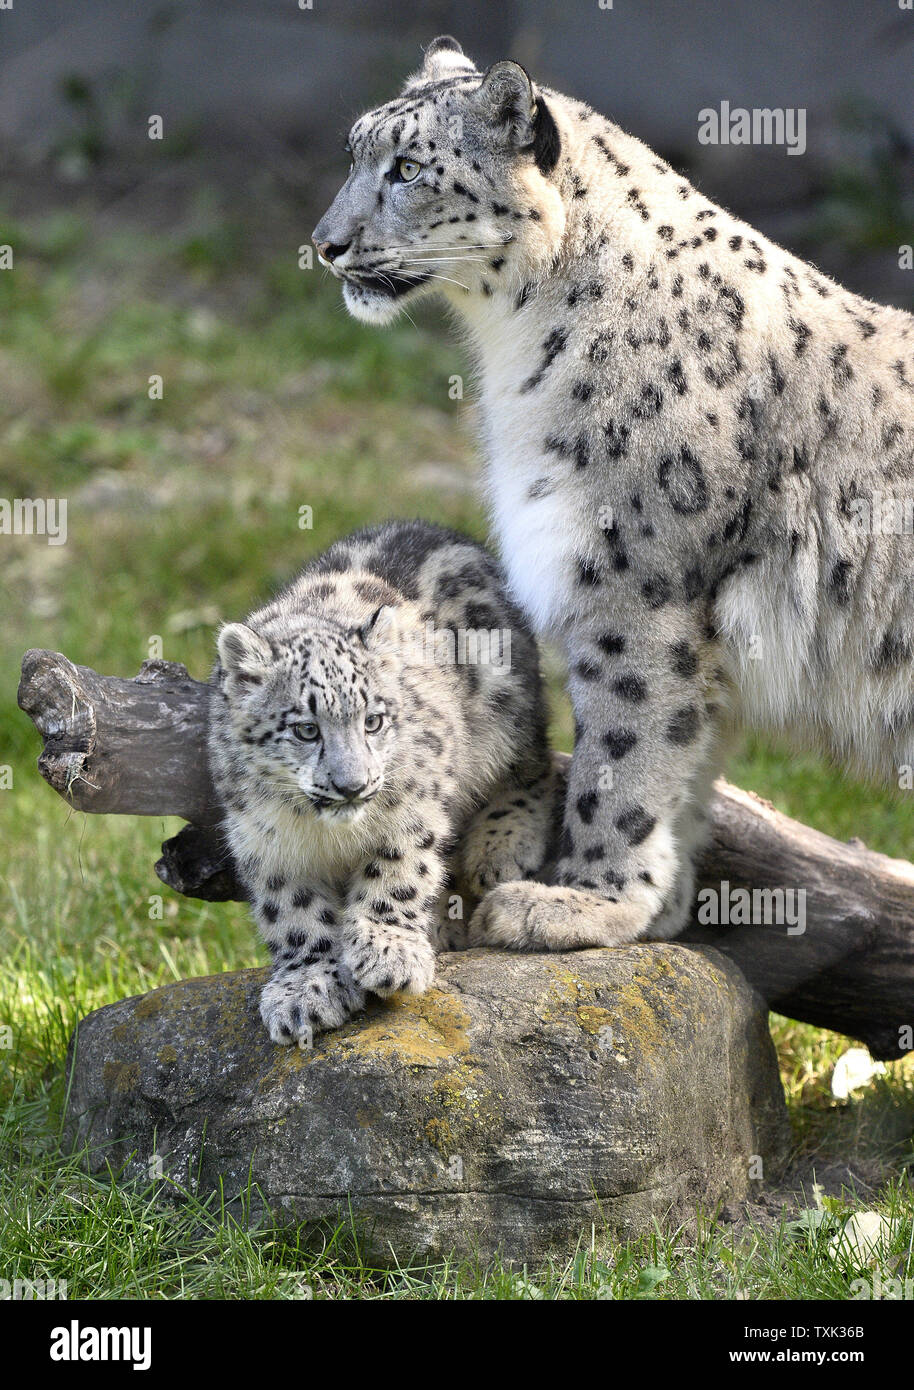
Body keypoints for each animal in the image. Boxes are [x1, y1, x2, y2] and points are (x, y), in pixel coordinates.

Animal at [208, 522, 547, 1045]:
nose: (352, 785)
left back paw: (500, 845)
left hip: (509, 707)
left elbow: (399, 868)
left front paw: (389, 953)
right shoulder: (264, 838)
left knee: (533, 766)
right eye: (305, 729)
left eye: (373, 721)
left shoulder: (415, 803)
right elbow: (292, 909)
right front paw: (306, 988)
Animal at [311, 32, 911, 950]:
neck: (516, 359)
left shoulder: (635, 594)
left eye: (408, 168)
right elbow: (683, 765)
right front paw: (653, 910)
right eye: (351, 154)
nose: (325, 244)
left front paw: (582, 902)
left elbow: (623, 761)